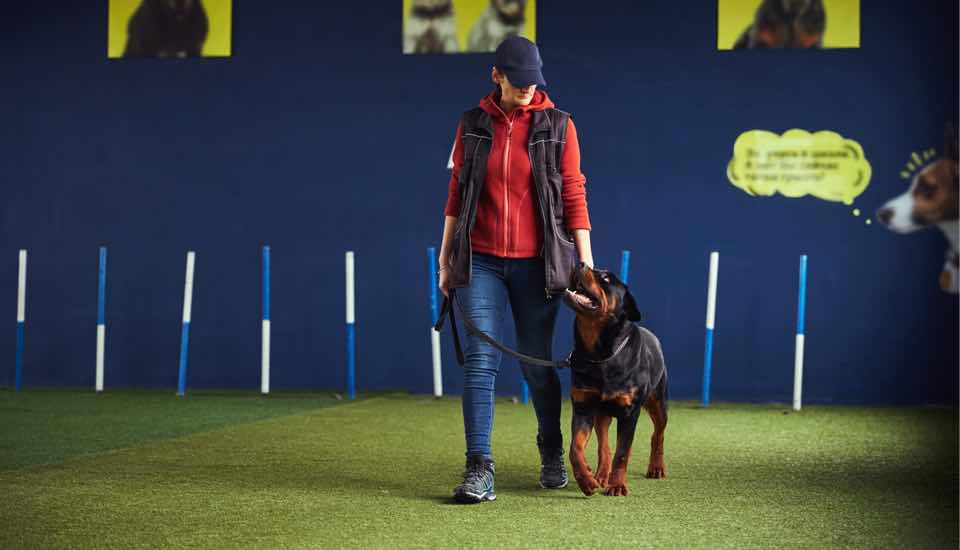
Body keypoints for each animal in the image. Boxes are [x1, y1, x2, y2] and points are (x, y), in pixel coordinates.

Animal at [564, 266, 668, 498]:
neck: (600, 354)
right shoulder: (583, 407)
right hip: (601, 414)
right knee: (604, 445)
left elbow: (622, 452)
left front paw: (618, 485)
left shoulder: (630, 412)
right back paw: (601, 475)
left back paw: (656, 467)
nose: (580, 264)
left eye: (605, 278)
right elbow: (575, 448)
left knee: (658, 434)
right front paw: (586, 480)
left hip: (658, 401)